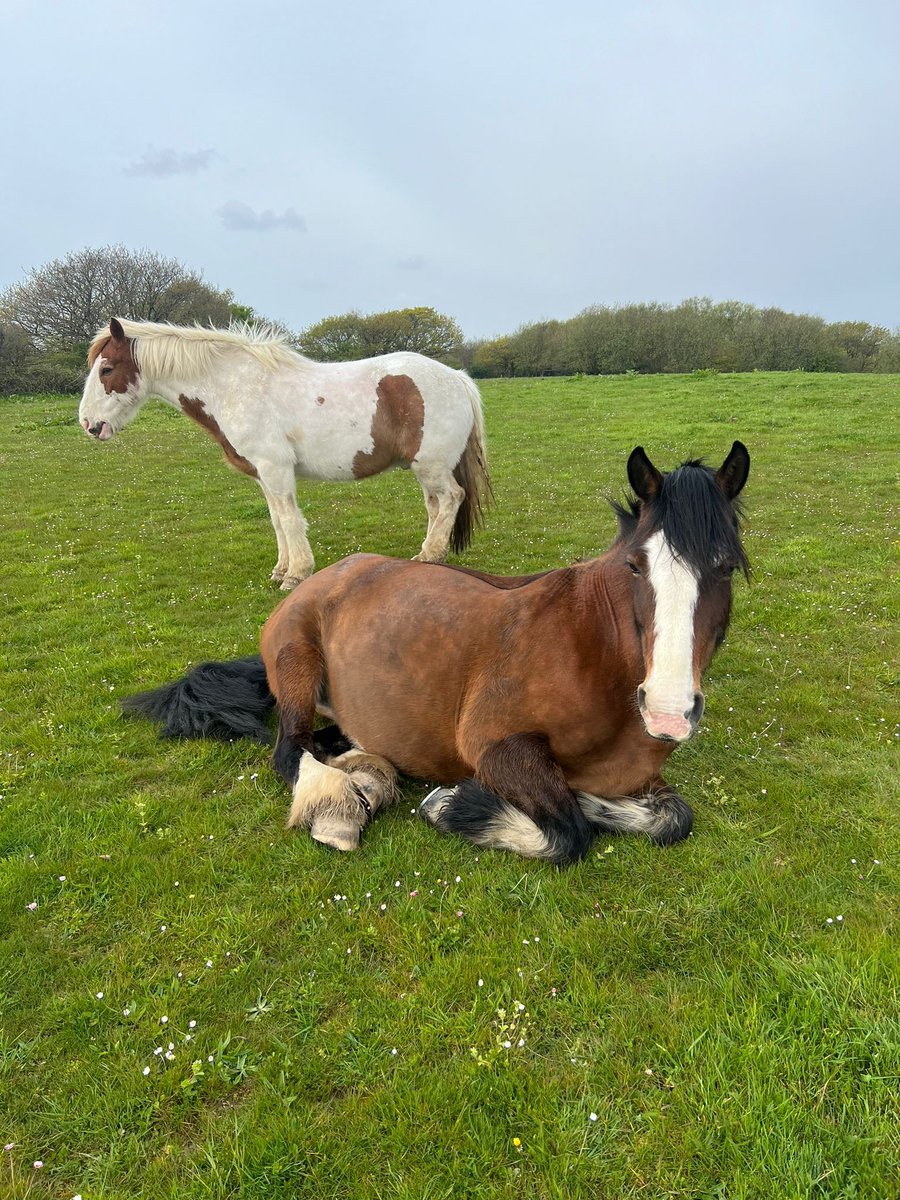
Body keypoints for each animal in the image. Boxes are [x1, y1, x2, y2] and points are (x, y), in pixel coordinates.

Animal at [78, 316, 489, 583]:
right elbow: (277, 519)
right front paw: (281, 569)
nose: (88, 424)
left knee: (450, 499)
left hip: (432, 466)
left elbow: (290, 519)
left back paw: (431, 556)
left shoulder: (275, 469)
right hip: (425, 468)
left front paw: (297, 573)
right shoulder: (263, 474)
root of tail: (456, 377)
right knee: (436, 507)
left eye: (106, 370)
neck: (234, 386)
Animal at [123, 441, 748, 864]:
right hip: (296, 667)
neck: (591, 654)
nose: (668, 711)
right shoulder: (494, 746)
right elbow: (569, 831)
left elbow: (671, 818)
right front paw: (452, 806)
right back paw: (344, 803)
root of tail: (318, 579)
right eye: (635, 567)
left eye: (725, 567)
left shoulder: (642, 779)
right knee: (290, 752)